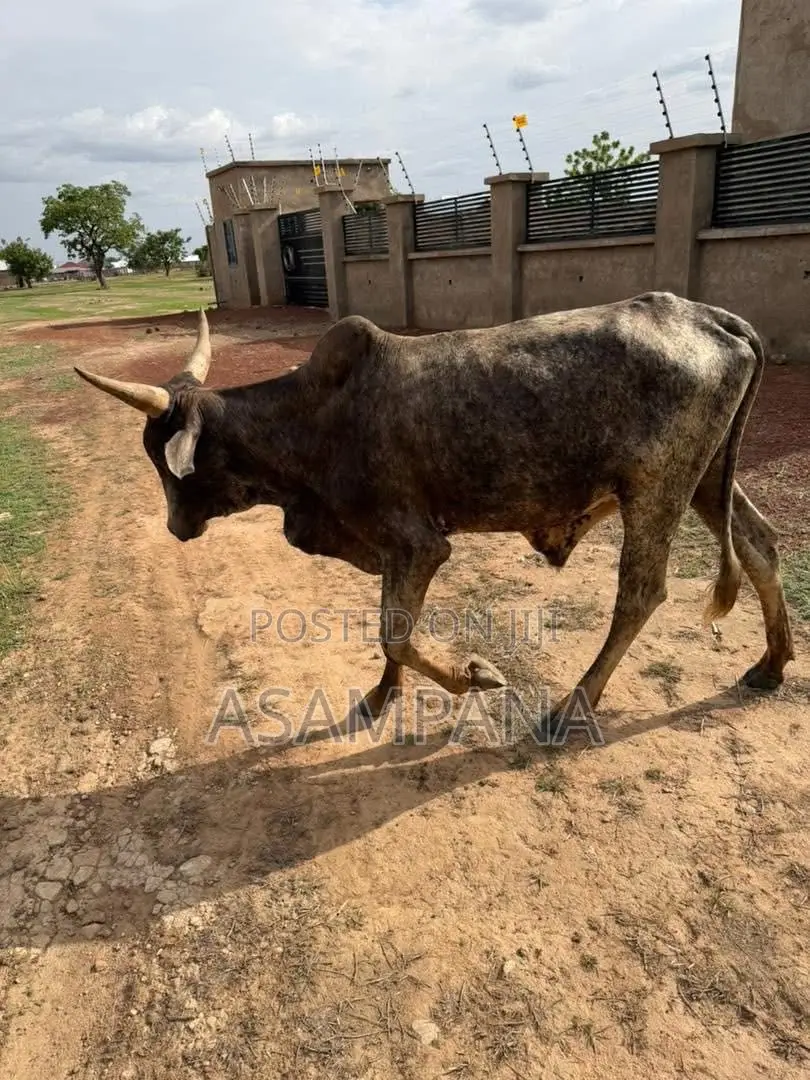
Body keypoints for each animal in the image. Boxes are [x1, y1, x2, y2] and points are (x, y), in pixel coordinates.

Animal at [74, 292, 795, 726]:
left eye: (168, 457)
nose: (175, 526)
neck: (311, 422)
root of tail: (713, 318)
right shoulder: (395, 550)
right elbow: (393, 631)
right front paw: (381, 697)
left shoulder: (418, 544)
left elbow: (395, 631)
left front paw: (473, 676)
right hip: (706, 480)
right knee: (759, 545)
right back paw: (771, 664)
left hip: (656, 488)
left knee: (641, 592)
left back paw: (575, 705)